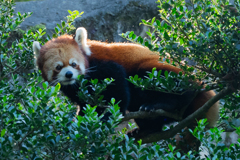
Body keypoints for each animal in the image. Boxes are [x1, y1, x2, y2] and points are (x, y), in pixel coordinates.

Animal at [33, 27, 219, 148]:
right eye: (58, 67)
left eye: (73, 64)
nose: (69, 75)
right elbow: (88, 106)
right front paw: (80, 122)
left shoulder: (104, 66)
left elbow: (119, 86)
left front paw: (111, 115)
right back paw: (145, 130)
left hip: (159, 73)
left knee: (168, 81)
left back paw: (167, 102)